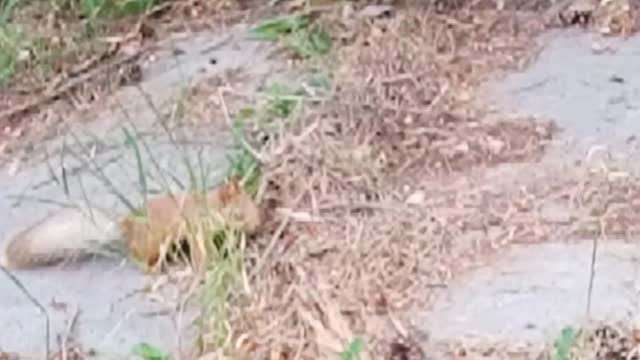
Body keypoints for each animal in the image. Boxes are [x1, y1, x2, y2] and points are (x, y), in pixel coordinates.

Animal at [0, 177, 262, 272]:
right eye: (238, 214)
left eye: (254, 204)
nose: (257, 226)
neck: (207, 205)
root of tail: (126, 226)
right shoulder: (195, 228)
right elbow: (200, 251)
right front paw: (208, 265)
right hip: (154, 243)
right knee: (139, 258)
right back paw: (155, 268)